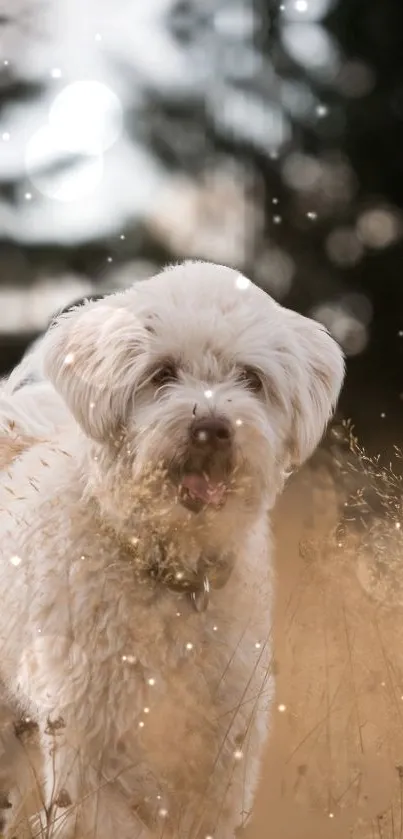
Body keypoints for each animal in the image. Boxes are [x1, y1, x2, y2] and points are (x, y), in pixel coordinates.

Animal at [0, 260, 344, 836]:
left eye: (251, 378)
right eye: (161, 373)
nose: (212, 428)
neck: (171, 572)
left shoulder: (221, 751)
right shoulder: (91, 743)